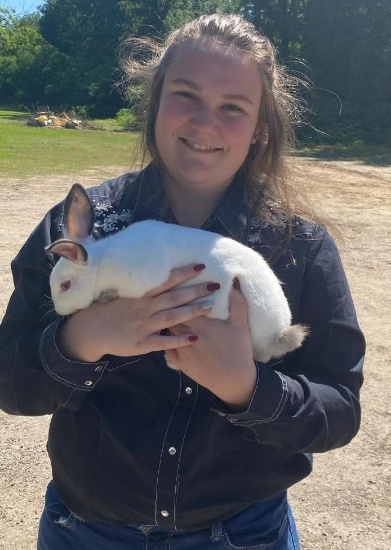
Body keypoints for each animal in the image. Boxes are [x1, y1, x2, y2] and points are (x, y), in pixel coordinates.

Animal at [46, 183, 310, 368]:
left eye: (65, 285)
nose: (58, 310)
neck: (100, 264)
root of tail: (277, 334)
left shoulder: (139, 276)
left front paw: (105, 296)